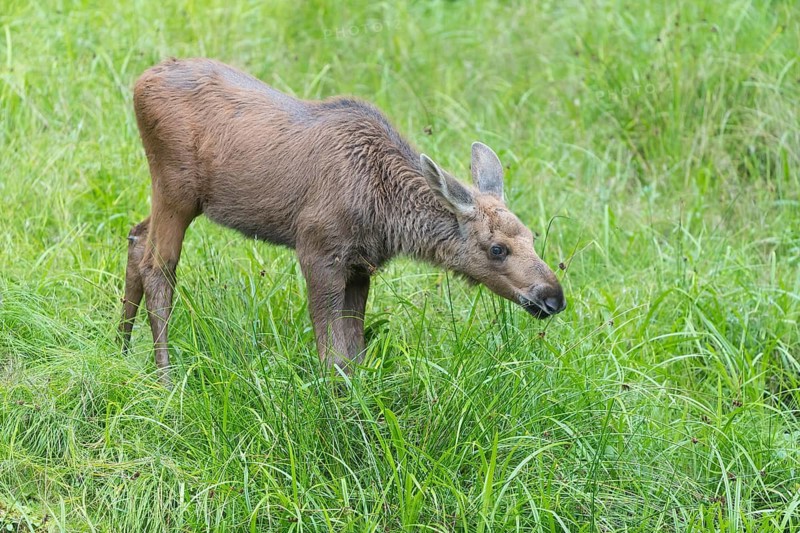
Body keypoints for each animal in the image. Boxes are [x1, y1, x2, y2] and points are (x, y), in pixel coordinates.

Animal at [120, 58, 566, 386]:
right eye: (496, 248)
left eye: (532, 237)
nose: (554, 297)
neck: (387, 214)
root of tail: (140, 81)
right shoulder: (317, 249)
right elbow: (332, 354)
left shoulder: (360, 266)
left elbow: (354, 351)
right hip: (176, 188)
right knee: (158, 266)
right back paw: (166, 378)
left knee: (136, 237)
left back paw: (121, 350)